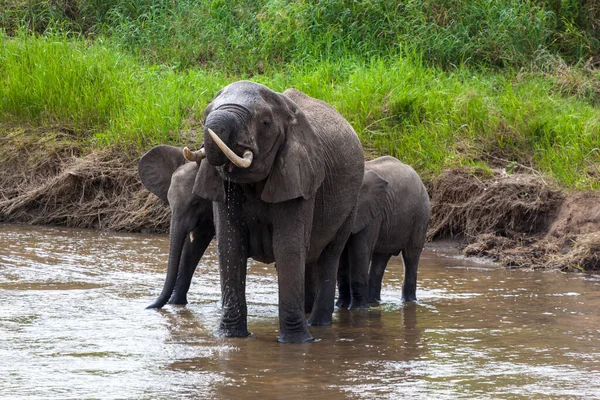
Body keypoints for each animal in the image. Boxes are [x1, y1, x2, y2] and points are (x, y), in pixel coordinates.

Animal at [183, 80, 364, 344]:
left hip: (351, 202)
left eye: (265, 122)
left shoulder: (300, 177)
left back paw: (318, 324)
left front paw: (297, 343)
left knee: (329, 255)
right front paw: (230, 338)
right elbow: (230, 246)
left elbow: (287, 247)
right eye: (206, 112)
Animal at [336, 156, 428, 310]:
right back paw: (373, 301)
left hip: (420, 214)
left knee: (411, 255)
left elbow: (361, 251)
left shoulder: (372, 213)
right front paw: (340, 307)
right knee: (380, 259)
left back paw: (408, 301)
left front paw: (357, 309)